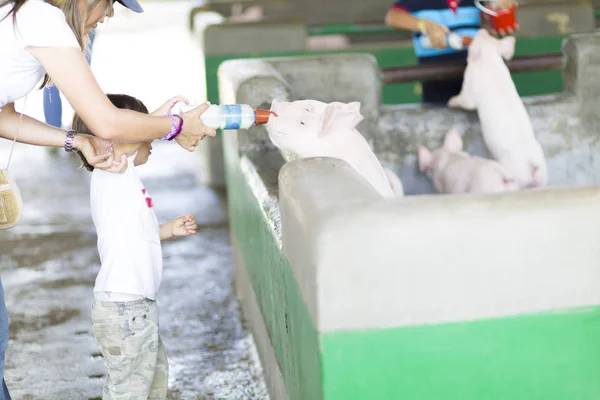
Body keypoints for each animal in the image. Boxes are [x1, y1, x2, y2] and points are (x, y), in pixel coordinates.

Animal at [446, 29, 548, 189]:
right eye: (490, 36)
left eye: (477, 39)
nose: (482, 30)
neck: (490, 60)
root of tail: (532, 165)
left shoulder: (470, 86)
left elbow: (466, 101)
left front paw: (450, 102)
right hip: (543, 178)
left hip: (516, 175)